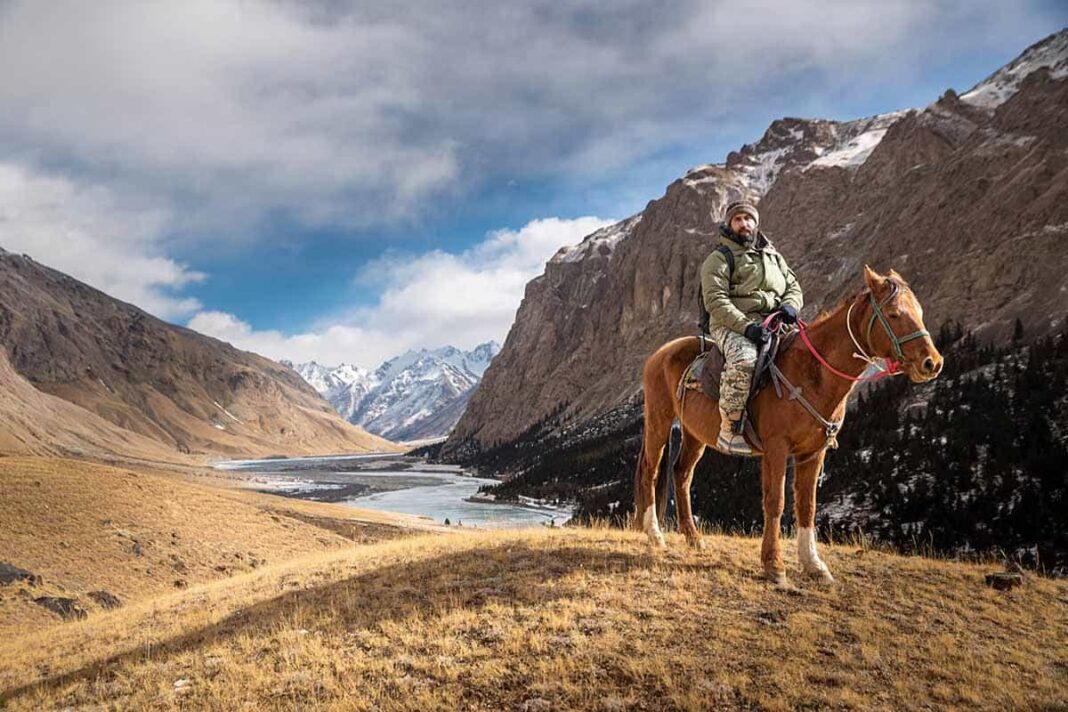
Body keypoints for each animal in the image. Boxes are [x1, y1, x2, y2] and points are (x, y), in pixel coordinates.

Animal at [632, 264, 944, 589]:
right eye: (894, 314)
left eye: (919, 311)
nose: (932, 362)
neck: (811, 376)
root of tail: (660, 354)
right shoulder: (776, 449)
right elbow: (776, 502)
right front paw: (774, 566)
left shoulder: (813, 453)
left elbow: (807, 505)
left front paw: (814, 565)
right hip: (659, 420)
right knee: (651, 470)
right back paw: (655, 535)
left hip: (694, 434)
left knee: (681, 474)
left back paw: (693, 538)